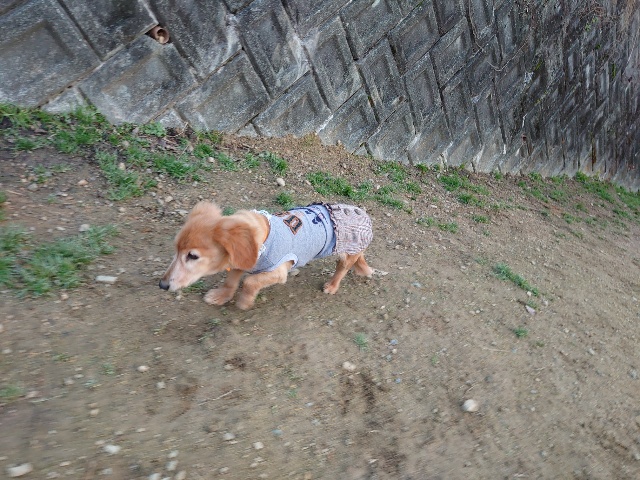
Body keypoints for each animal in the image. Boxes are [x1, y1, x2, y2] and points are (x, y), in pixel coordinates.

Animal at [159, 201, 374, 310]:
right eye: (175, 250)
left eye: (192, 256)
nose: (162, 285)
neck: (262, 239)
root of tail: (363, 213)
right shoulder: (240, 261)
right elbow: (231, 281)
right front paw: (222, 296)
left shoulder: (278, 271)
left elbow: (249, 282)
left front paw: (245, 301)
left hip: (348, 252)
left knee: (342, 268)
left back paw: (332, 286)